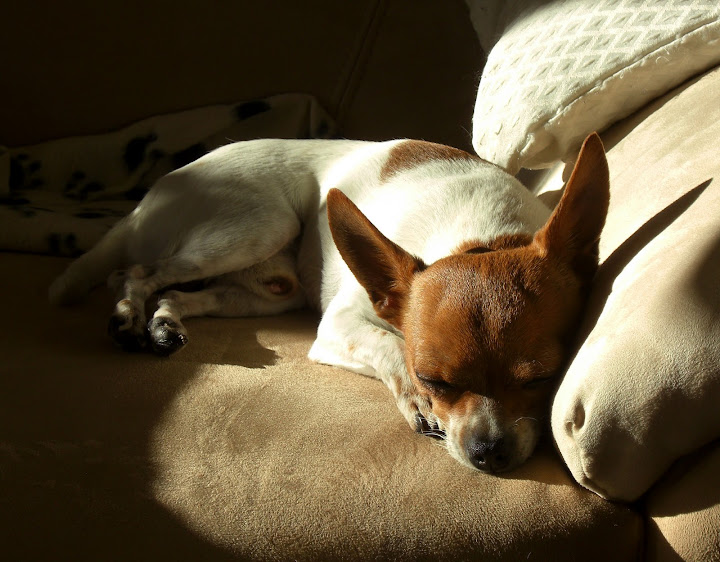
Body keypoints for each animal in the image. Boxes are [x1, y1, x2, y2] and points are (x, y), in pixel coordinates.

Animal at [49, 133, 609, 473]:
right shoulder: (338, 327)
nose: (488, 453)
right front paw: (415, 401)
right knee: (135, 273)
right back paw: (127, 317)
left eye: (541, 379)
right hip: (257, 227)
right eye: (433, 381)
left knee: (174, 291)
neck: (481, 240)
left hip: (269, 292)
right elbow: (389, 345)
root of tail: (143, 203)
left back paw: (164, 324)